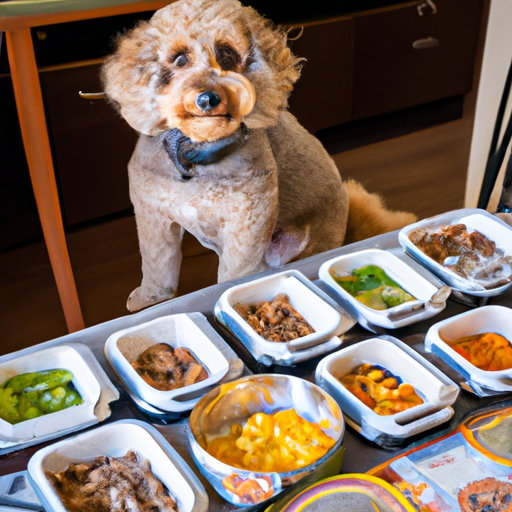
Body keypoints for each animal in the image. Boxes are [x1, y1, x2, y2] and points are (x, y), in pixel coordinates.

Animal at [102, 0, 418, 312]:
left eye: (227, 53)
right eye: (180, 59)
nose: (208, 98)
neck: (196, 152)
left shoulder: (248, 222)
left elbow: (234, 275)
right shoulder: (153, 215)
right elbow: (157, 267)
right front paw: (150, 299)